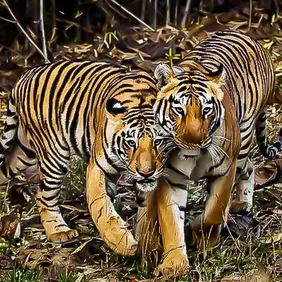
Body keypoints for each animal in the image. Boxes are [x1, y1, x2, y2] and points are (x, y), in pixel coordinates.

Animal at [0, 60, 170, 256]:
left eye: (158, 141)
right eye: (130, 143)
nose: (146, 172)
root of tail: (25, 76)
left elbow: (147, 211)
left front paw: (148, 244)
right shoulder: (99, 167)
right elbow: (101, 208)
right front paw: (122, 243)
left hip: (24, 152)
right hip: (54, 154)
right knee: (43, 195)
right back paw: (59, 232)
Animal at [137, 29, 282, 276]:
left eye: (206, 110)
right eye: (178, 110)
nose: (193, 142)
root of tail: (251, 38)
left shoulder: (225, 170)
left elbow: (213, 212)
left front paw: (201, 235)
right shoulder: (170, 179)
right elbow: (171, 219)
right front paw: (174, 264)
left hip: (242, 142)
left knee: (247, 168)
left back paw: (240, 206)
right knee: (250, 167)